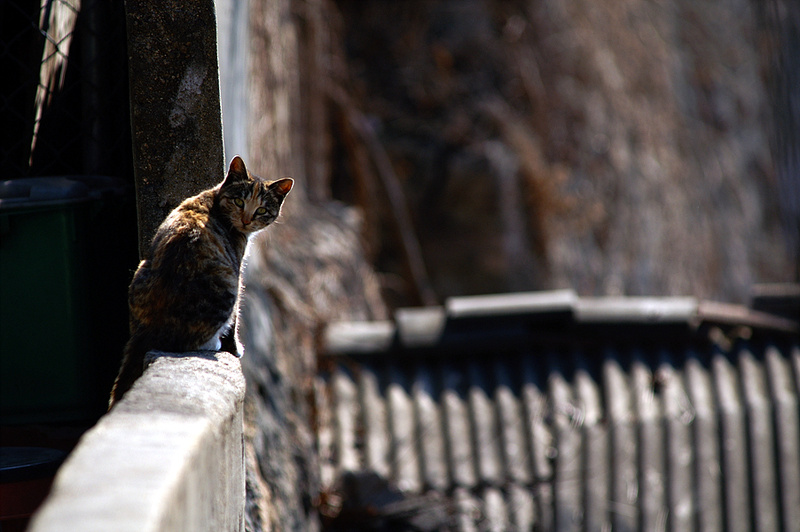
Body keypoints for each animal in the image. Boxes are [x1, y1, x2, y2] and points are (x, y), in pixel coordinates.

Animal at [108, 157, 292, 408]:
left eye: (262, 209)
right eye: (239, 201)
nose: (246, 220)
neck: (215, 199)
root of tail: (149, 329)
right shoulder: (237, 274)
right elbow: (235, 321)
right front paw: (235, 349)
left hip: (141, 268)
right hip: (226, 282)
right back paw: (213, 344)